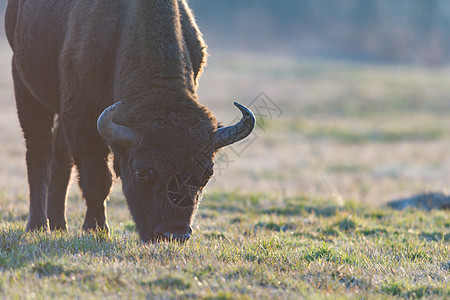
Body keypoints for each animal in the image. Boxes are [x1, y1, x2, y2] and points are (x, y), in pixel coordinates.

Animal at [5, 0, 255, 243]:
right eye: (141, 172)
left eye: (207, 174)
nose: (174, 233)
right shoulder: (83, 119)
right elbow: (97, 179)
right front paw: (96, 228)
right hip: (25, 88)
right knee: (38, 155)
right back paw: (37, 226)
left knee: (60, 157)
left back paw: (59, 225)